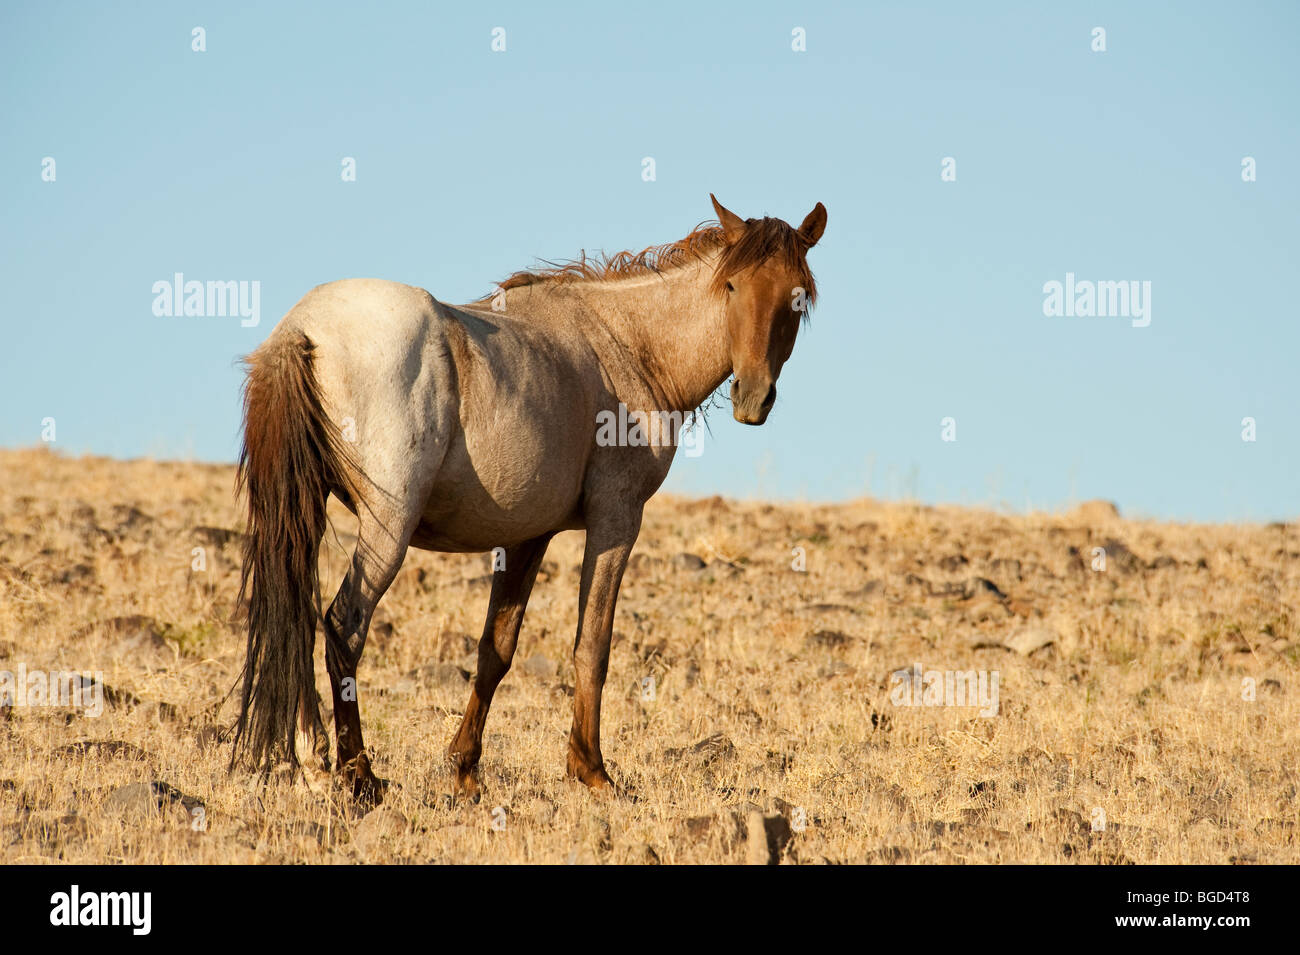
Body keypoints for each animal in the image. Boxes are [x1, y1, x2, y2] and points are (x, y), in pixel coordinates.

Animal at [233, 194, 827, 802]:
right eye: (731, 286)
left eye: (797, 296)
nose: (752, 396)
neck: (627, 344)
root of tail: (303, 328)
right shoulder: (616, 521)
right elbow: (593, 645)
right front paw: (591, 769)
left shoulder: (527, 536)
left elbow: (495, 650)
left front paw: (465, 769)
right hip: (386, 529)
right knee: (344, 627)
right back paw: (358, 774)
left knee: (298, 621)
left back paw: (313, 760)